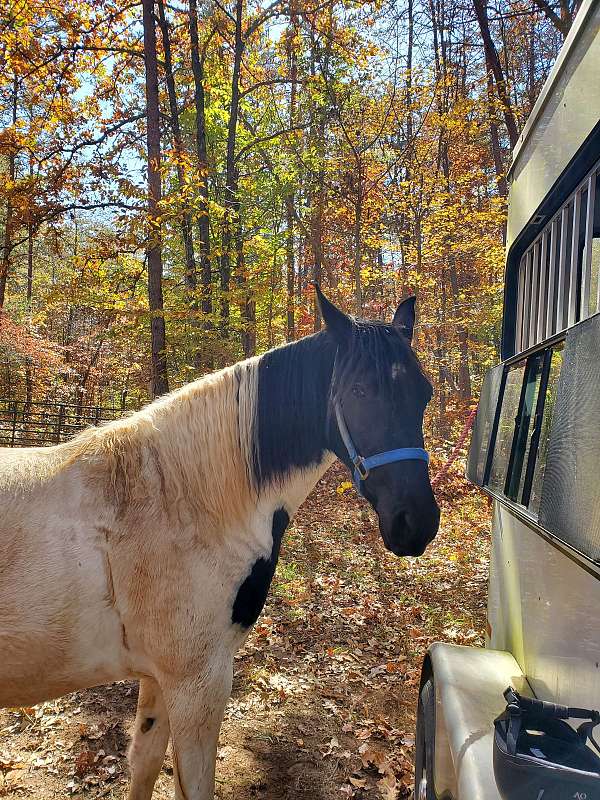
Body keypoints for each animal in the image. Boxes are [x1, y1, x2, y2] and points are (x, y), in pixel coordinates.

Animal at [0, 287, 440, 799]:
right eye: (359, 391)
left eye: (425, 394)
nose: (417, 523)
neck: (180, 499)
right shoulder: (199, 684)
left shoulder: (160, 678)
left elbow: (145, 762)